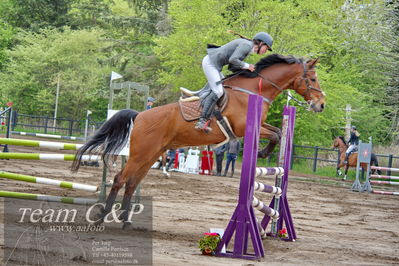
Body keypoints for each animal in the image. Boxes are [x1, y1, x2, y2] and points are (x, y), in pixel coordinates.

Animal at [72, 53, 328, 227]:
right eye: (313, 78)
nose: (321, 105)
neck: (253, 90)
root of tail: (140, 115)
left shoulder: (257, 126)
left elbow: (277, 131)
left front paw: (265, 152)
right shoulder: (244, 127)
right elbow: (274, 133)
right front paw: (263, 153)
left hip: (150, 155)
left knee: (132, 182)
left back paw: (126, 220)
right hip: (141, 154)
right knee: (119, 179)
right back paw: (102, 217)